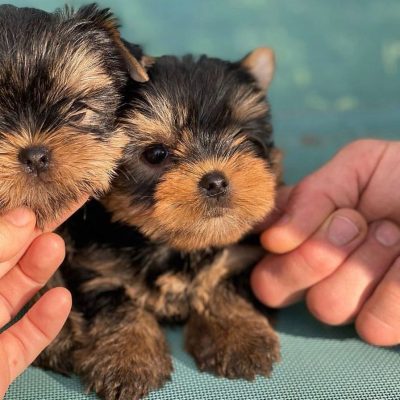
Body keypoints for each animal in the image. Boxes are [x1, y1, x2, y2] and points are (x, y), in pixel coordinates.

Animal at [36, 47, 282, 400]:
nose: (216, 181)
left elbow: (224, 284)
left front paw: (239, 336)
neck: (175, 245)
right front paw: (126, 357)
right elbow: (118, 304)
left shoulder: (241, 255)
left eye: (247, 140)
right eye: (156, 154)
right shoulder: (98, 266)